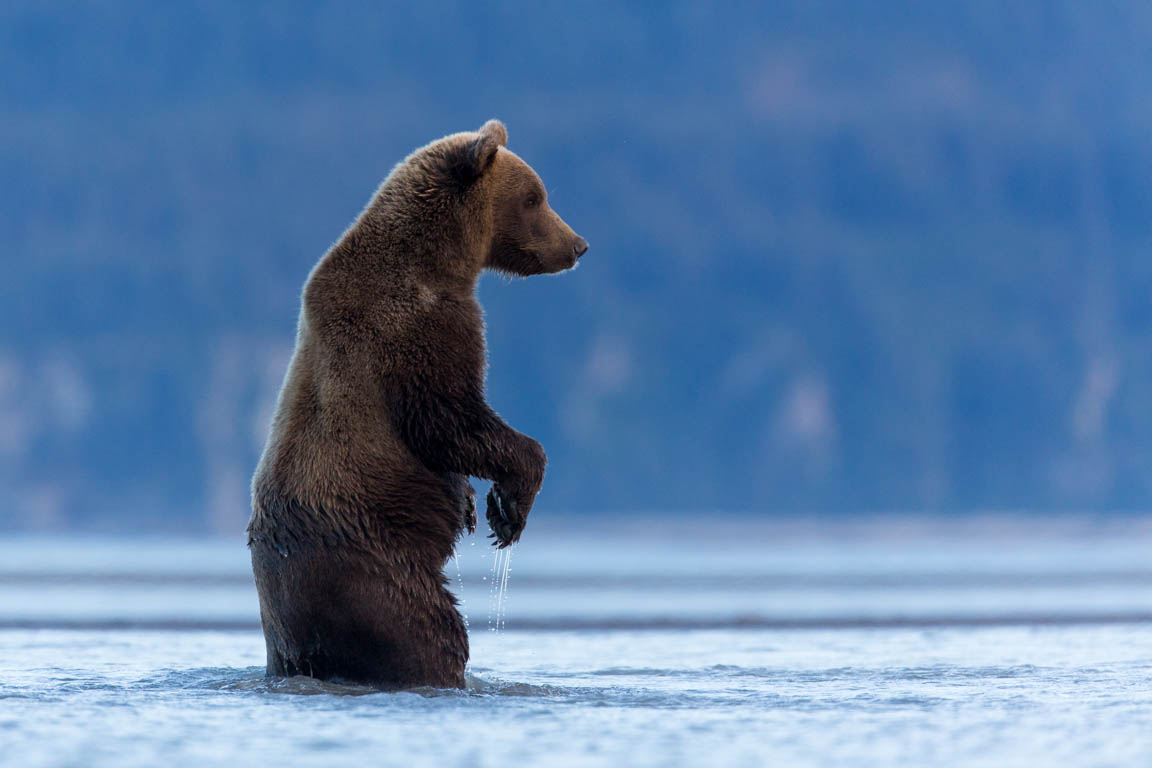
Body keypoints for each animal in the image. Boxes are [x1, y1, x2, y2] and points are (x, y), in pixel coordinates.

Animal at [244, 121, 585, 690]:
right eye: (534, 198)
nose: (578, 244)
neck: (437, 263)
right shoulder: (414, 331)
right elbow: (450, 419)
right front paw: (511, 505)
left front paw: (476, 505)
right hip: (372, 569)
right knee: (427, 630)